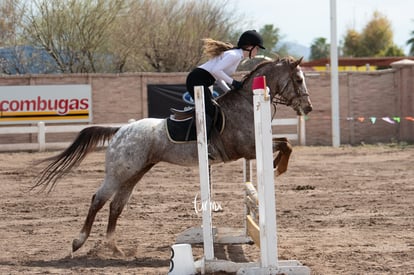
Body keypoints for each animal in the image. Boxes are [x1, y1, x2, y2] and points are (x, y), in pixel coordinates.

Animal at [32, 56, 312, 256]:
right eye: (299, 79)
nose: (308, 107)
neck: (246, 103)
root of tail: (120, 130)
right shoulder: (248, 149)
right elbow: (285, 145)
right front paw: (277, 167)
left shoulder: (251, 150)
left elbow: (286, 143)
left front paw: (276, 165)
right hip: (120, 173)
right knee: (98, 200)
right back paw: (78, 242)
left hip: (135, 173)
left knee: (116, 205)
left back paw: (115, 248)